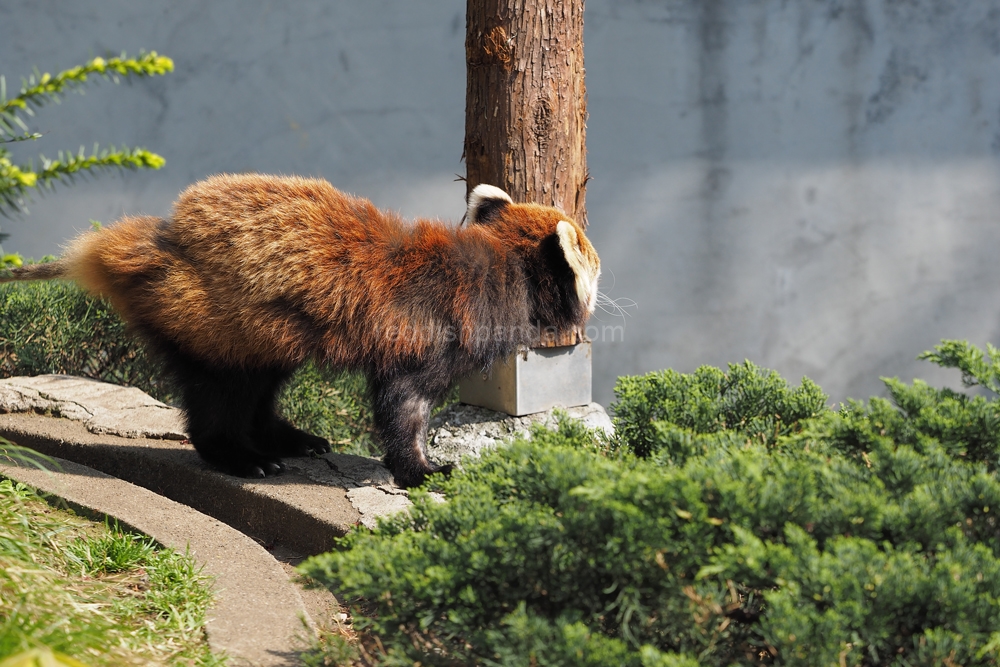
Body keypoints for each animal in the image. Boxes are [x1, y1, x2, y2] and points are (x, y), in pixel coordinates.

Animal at [1, 175, 600, 488]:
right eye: (594, 267)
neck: (497, 270)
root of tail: (149, 245)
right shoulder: (428, 333)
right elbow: (403, 404)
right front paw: (424, 468)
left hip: (258, 334)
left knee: (260, 388)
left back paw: (289, 438)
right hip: (213, 321)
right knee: (221, 397)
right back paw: (242, 457)